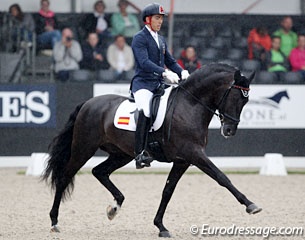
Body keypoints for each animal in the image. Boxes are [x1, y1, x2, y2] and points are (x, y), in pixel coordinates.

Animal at [42, 62, 262, 237]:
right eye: (235, 97)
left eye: (246, 100)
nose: (229, 130)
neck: (190, 105)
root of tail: (88, 103)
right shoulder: (194, 154)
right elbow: (221, 177)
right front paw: (251, 205)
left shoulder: (183, 160)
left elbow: (167, 191)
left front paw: (160, 226)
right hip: (84, 148)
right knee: (64, 177)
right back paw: (54, 222)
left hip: (121, 154)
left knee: (100, 171)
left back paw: (114, 207)